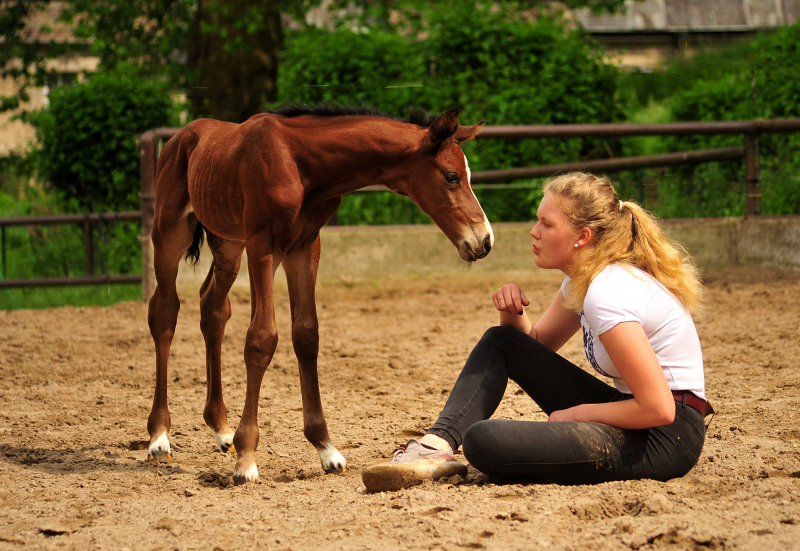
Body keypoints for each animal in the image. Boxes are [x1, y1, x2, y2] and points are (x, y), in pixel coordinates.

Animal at [146, 104, 490, 484]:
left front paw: (326, 449)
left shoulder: (304, 247)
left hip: (228, 245)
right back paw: (159, 437)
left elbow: (307, 335)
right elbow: (261, 339)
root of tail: (179, 137)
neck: (301, 164)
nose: (484, 240)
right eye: (451, 176)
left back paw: (221, 429)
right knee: (164, 312)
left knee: (213, 308)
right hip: (170, 233)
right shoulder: (262, 245)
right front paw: (247, 459)